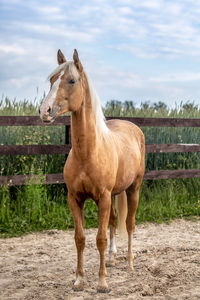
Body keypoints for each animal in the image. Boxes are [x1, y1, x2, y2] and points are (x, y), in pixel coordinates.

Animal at [39, 49, 145, 292]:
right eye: (51, 80)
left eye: (71, 80)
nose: (44, 111)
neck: (88, 153)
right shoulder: (75, 198)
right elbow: (80, 238)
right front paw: (79, 280)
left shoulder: (103, 198)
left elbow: (100, 239)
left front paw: (102, 282)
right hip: (115, 193)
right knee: (114, 220)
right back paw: (112, 259)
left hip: (133, 189)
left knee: (129, 224)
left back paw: (129, 263)